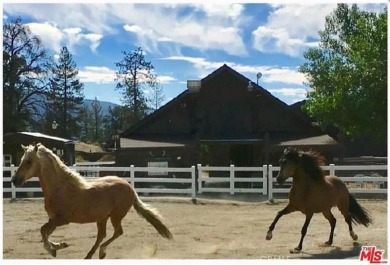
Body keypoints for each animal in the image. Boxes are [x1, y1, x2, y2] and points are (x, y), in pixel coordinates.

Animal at [11, 143, 173, 256]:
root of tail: (130, 187)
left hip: (116, 216)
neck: (60, 188)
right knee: (102, 235)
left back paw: (101, 252)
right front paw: (59, 246)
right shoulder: (53, 219)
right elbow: (45, 233)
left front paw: (54, 250)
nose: (14, 180)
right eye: (22, 160)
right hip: (102, 218)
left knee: (117, 232)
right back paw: (90, 255)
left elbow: (43, 231)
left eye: (29, 161)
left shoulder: (62, 219)